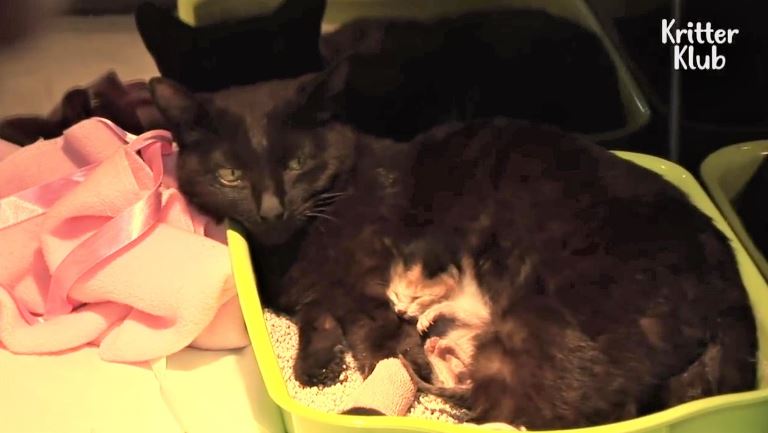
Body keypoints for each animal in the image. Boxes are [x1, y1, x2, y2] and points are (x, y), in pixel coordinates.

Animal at [148, 70, 757, 429]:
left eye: (297, 164)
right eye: (229, 175)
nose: (272, 209)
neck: (291, 246)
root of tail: (728, 278)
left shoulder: (369, 284)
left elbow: (371, 334)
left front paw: (373, 370)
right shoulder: (317, 289)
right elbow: (318, 313)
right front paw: (317, 364)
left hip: (542, 330)